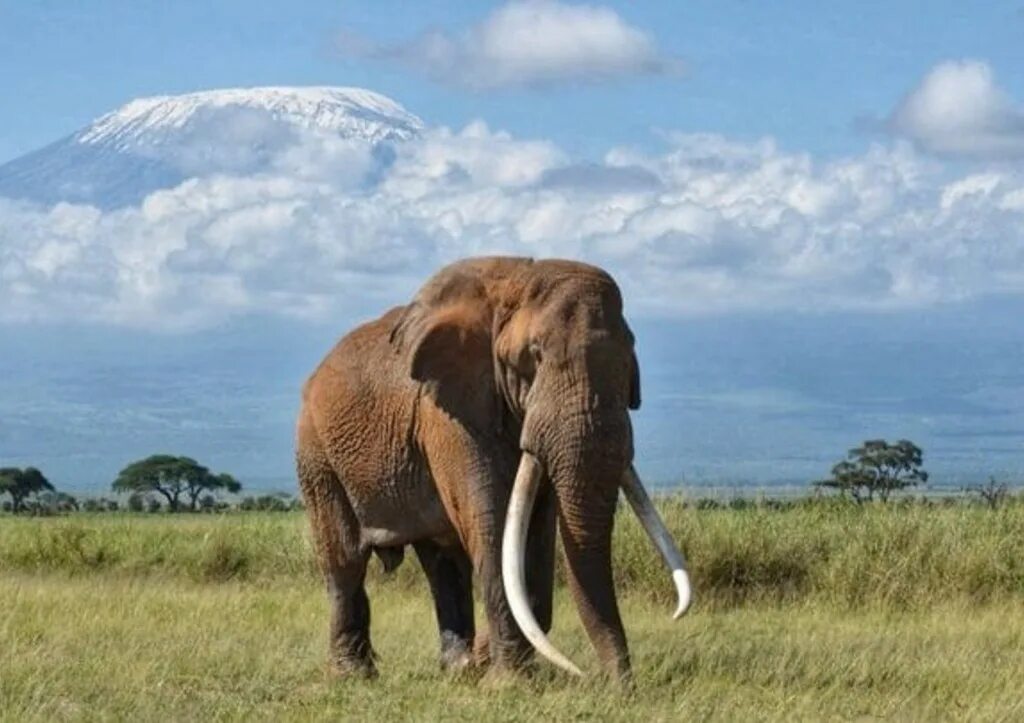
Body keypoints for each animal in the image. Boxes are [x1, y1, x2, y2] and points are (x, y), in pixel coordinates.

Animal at [296, 256, 696, 679]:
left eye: (629, 358)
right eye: (534, 356)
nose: (614, 684)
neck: (519, 278)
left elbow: (535, 533)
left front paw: (485, 666)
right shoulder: (450, 414)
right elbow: (494, 524)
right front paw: (509, 682)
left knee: (441, 560)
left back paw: (457, 666)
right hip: (316, 452)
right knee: (344, 559)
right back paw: (354, 674)